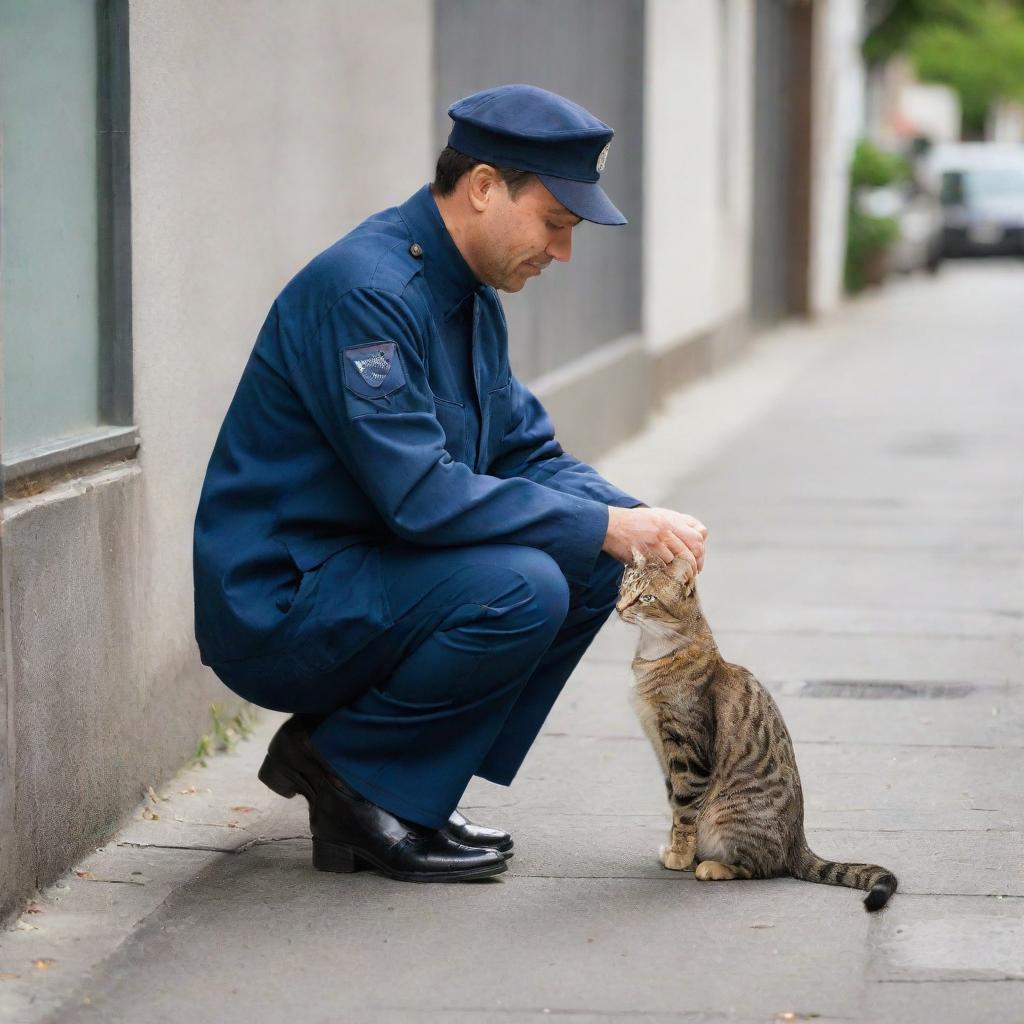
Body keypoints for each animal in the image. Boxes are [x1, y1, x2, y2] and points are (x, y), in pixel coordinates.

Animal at [614, 552, 897, 913]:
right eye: (623, 588)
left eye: (646, 597)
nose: (619, 607)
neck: (656, 653)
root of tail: (798, 842)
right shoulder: (666, 756)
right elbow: (674, 802)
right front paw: (677, 848)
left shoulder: (687, 751)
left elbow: (685, 809)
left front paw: (680, 854)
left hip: (730, 814)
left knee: (761, 868)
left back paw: (713, 866)